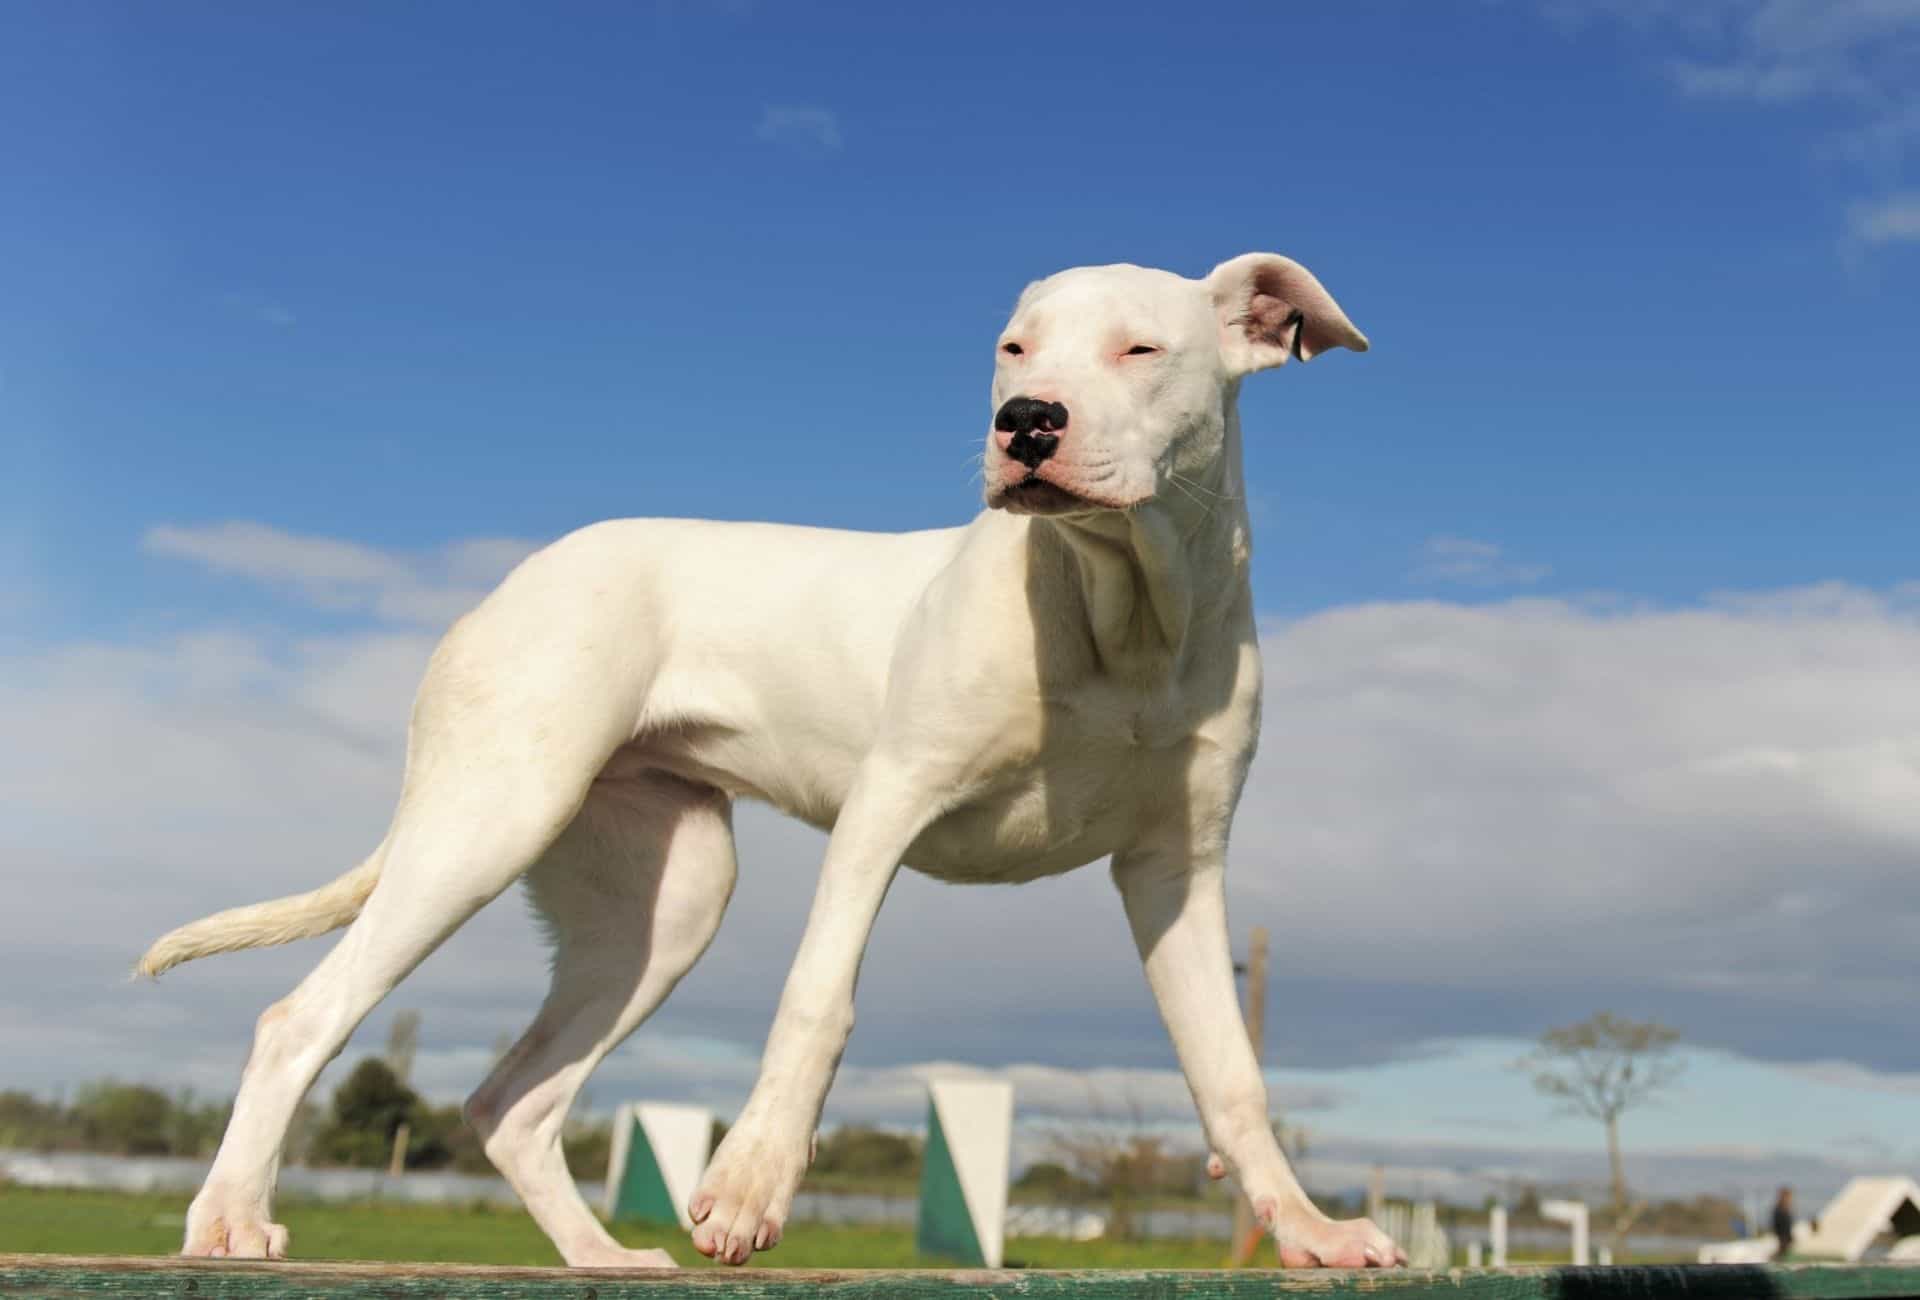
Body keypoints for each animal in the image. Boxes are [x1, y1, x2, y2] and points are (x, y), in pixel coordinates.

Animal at [135, 253, 1405, 1267]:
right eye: (1014, 349)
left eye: (1141, 348)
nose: (1027, 421)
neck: (1125, 615)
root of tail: (510, 583)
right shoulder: (884, 810)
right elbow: (816, 1000)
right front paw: (749, 1184)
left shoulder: (1177, 871)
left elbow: (1231, 1071)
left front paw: (1309, 1228)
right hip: (490, 819)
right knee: (301, 1018)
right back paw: (231, 1218)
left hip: (662, 903)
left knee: (514, 1100)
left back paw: (602, 1257)